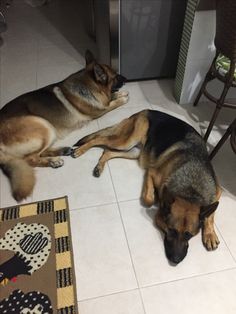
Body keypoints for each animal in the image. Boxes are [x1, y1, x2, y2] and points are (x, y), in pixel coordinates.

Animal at [0, 49, 127, 201]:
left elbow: (112, 97)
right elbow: (113, 103)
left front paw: (120, 94)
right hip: (44, 125)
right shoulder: (101, 110)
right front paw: (123, 97)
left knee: (39, 153)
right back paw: (53, 161)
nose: (127, 78)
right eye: (116, 76)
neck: (88, 85)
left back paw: (62, 151)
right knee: (30, 158)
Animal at [72, 109, 221, 264]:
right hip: (126, 142)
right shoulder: (152, 172)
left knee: (107, 151)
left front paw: (210, 234)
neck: (190, 189)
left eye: (189, 235)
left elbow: (211, 213)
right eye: (172, 230)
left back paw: (99, 167)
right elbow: (148, 200)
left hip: (134, 152)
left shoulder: (217, 191)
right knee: (98, 140)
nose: (176, 260)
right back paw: (80, 150)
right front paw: (157, 199)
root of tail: (144, 111)